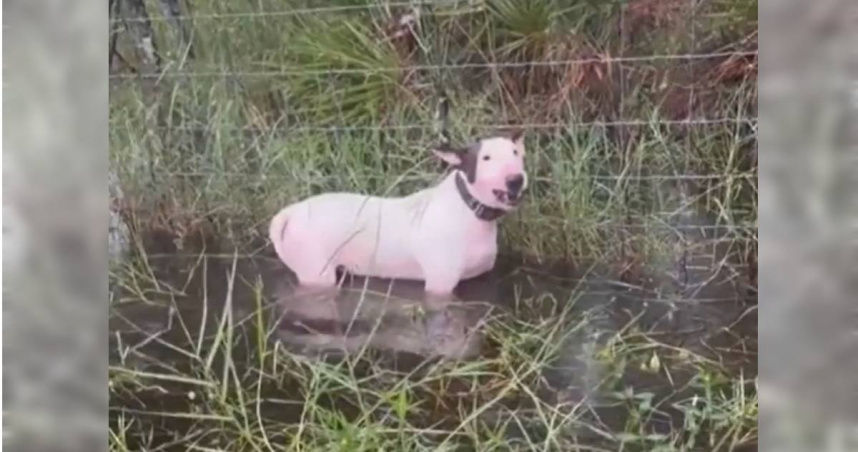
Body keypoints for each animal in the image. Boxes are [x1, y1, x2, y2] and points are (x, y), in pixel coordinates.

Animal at [268, 131, 524, 294]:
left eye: (516, 153)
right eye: (486, 158)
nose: (516, 180)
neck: (468, 209)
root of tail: (290, 213)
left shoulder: (481, 277)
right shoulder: (439, 285)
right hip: (316, 273)